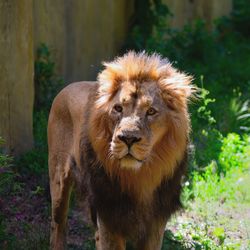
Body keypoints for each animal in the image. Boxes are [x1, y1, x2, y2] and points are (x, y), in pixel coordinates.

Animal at [47, 51, 195, 249]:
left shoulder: (155, 224)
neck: (140, 178)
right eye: (118, 108)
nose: (128, 138)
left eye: (151, 111)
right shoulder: (109, 217)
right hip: (58, 180)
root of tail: (68, 87)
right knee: (58, 225)